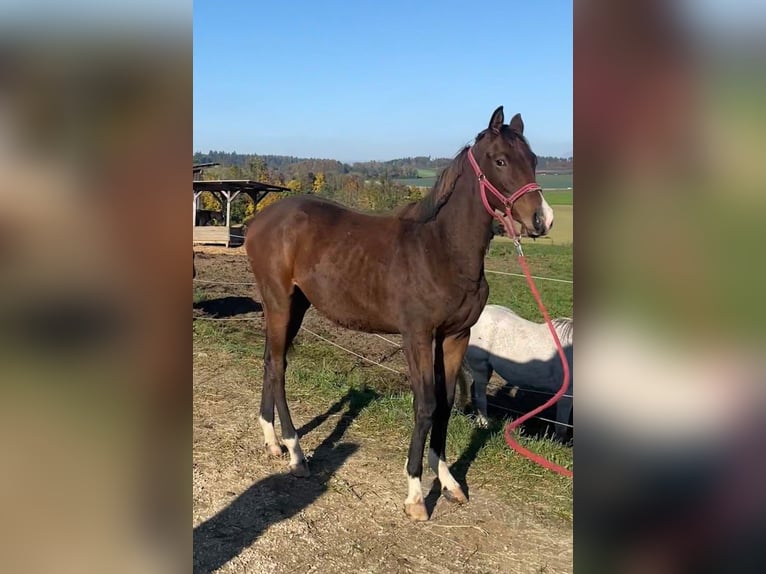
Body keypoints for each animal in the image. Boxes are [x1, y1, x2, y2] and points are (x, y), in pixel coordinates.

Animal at [246, 107, 552, 520]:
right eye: (501, 160)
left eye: (533, 160)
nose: (542, 219)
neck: (442, 250)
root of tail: (260, 220)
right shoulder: (417, 337)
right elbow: (425, 405)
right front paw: (415, 494)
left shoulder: (454, 337)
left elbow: (446, 405)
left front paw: (449, 482)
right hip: (279, 302)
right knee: (278, 368)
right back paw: (296, 453)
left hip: (295, 305)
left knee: (269, 361)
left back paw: (272, 441)